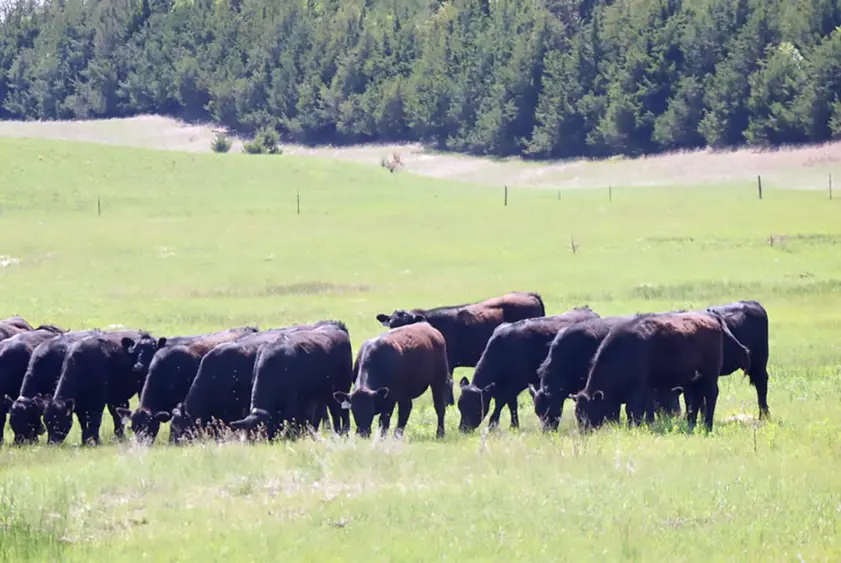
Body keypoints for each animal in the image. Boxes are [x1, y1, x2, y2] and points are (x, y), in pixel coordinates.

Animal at [375, 291, 545, 405]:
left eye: (407, 323)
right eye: (391, 324)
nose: (398, 336)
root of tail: (530, 294)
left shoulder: (447, 364)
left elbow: (448, 384)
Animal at [456, 306, 600, 433]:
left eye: (476, 408)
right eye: (460, 407)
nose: (463, 429)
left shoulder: (510, 388)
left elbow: (501, 406)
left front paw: (499, 426)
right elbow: (511, 406)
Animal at [571, 311, 750, 433]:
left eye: (589, 411)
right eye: (577, 414)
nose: (585, 432)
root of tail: (713, 320)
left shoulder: (638, 390)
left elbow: (634, 411)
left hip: (710, 376)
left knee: (711, 396)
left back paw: (707, 426)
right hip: (696, 379)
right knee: (696, 400)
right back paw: (691, 424)